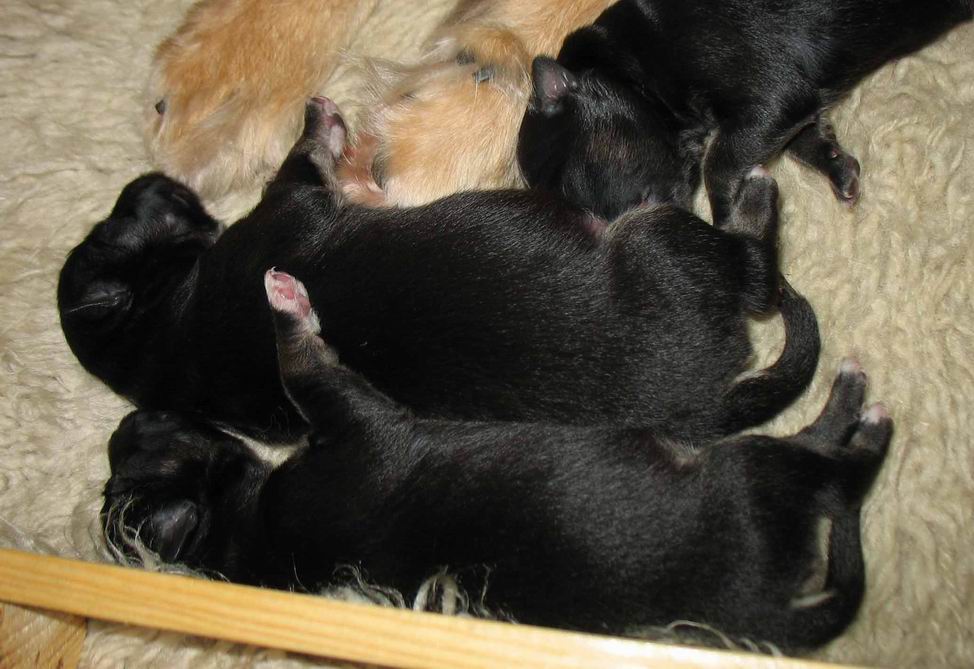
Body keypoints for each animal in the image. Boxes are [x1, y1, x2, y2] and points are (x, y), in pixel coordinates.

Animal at [60, 98, 818, 442]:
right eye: (134, 218)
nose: (152, 181)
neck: (163, 335)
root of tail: (698, 401)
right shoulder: (291, 204)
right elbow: (302, 160)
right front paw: (321, 120)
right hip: (661, 239)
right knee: (756, 266)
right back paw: (756, 197)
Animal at [100, 269, 891, 649]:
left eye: (133, 450)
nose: (128, 421)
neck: (245, 531)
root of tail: (762, 611)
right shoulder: (354, 417)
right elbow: (300, 362)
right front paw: (283, 296)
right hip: (749, 478)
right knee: (831, 469)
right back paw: (864, 415)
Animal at [517, 0, 973, 222]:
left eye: (571, 183)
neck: (634, 61)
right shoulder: (792, 106)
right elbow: (801, 136)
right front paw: (837, 165)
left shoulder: (774, 92)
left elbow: (720, 160)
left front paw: (731, 215)